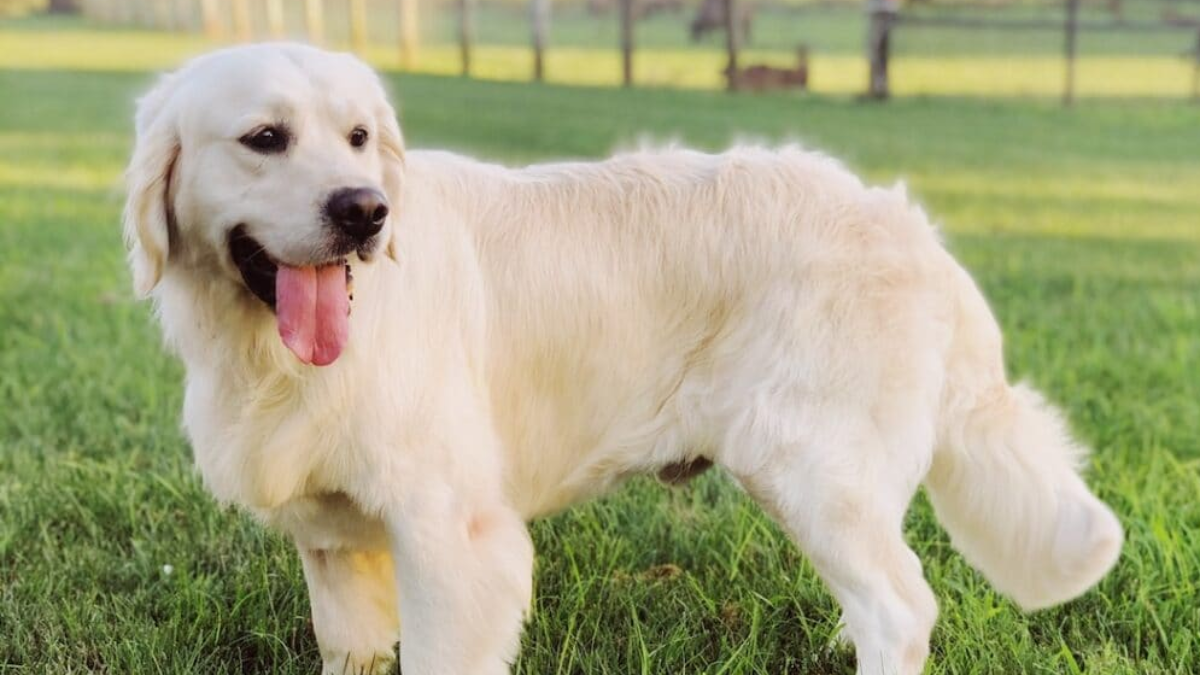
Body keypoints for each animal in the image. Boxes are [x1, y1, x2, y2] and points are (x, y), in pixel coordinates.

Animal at [124, 43, 1123, 672]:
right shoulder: (334, 545)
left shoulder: (455, 538)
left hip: (811, 468)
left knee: (903, 607)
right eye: (265, 139)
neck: (268, 354)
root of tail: (911, 227)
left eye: (359, 138)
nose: (367, 210)